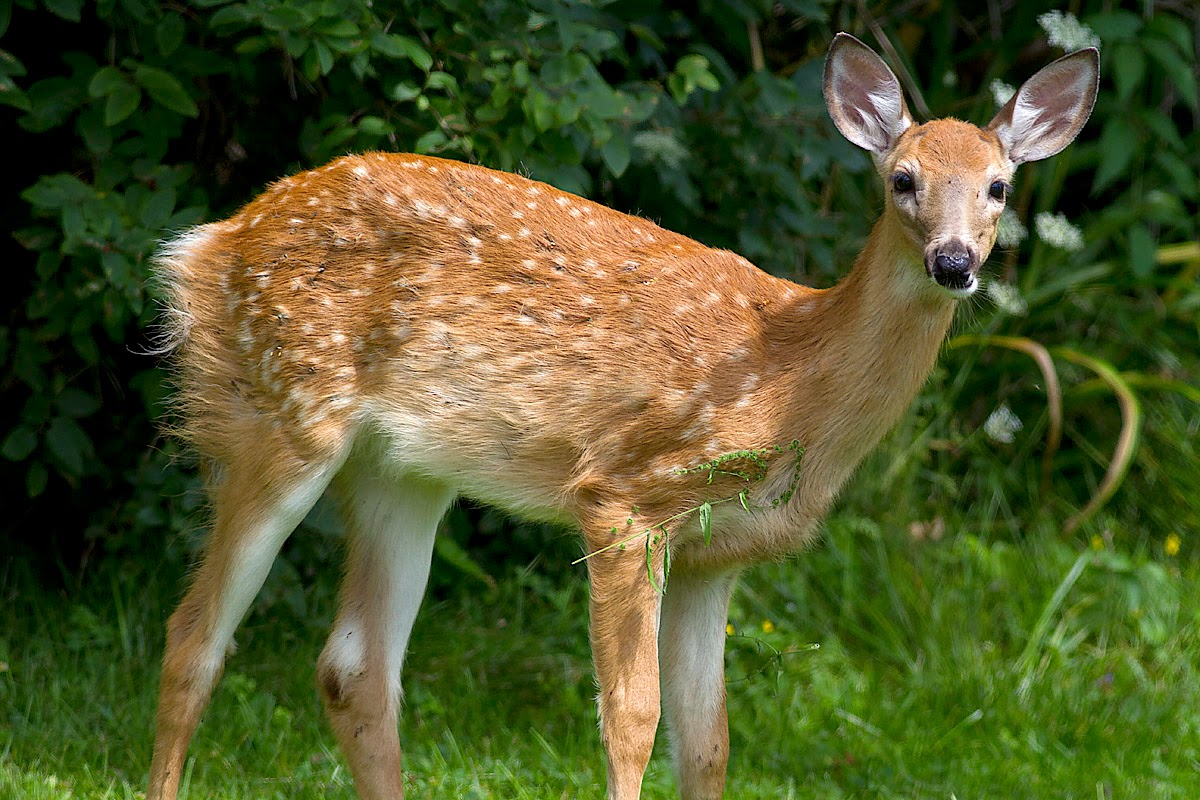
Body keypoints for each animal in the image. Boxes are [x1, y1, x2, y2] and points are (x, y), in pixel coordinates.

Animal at [145, 33, 1098, 800]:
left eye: (1000, 188)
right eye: (903, 180)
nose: (953, 262)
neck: (793, 380)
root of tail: (208, 244)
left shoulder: (718, 554)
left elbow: (708, 743)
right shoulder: (622, 495)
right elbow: (631, 720)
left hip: (404, 471)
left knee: (355, 667)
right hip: (279, 410)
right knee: (193, 637)